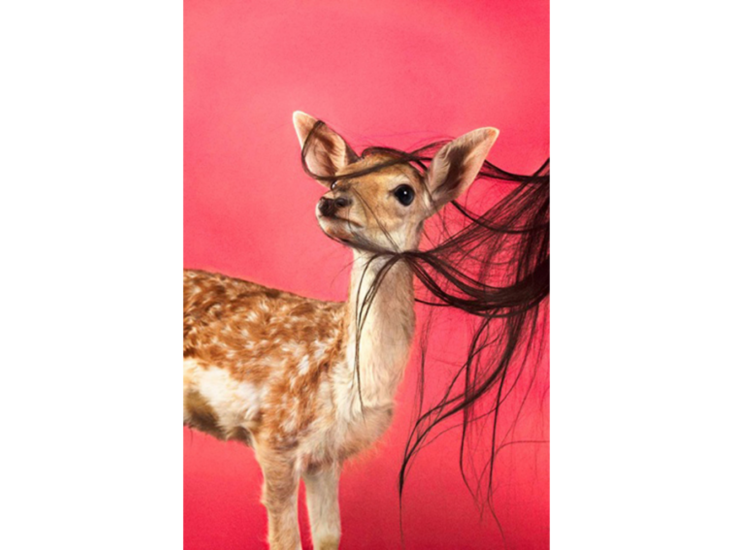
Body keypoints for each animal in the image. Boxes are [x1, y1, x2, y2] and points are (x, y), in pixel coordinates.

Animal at [183, 111, 500, 550]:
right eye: (337, 180)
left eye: (404, 192)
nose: (331, 200)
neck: (347, 384)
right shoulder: (275, 435)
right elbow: (285, 540)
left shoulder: (326, 457)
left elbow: (329, 534)